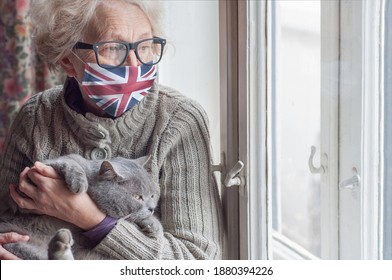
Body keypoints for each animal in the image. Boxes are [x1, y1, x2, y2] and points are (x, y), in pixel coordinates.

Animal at [0, 154, 162, 260]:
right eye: (137, 197)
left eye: (152, 195)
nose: (151, 208)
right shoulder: (25, 185)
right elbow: (70, 162)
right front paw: (79, 182)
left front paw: (154, 226)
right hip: (19, 242)